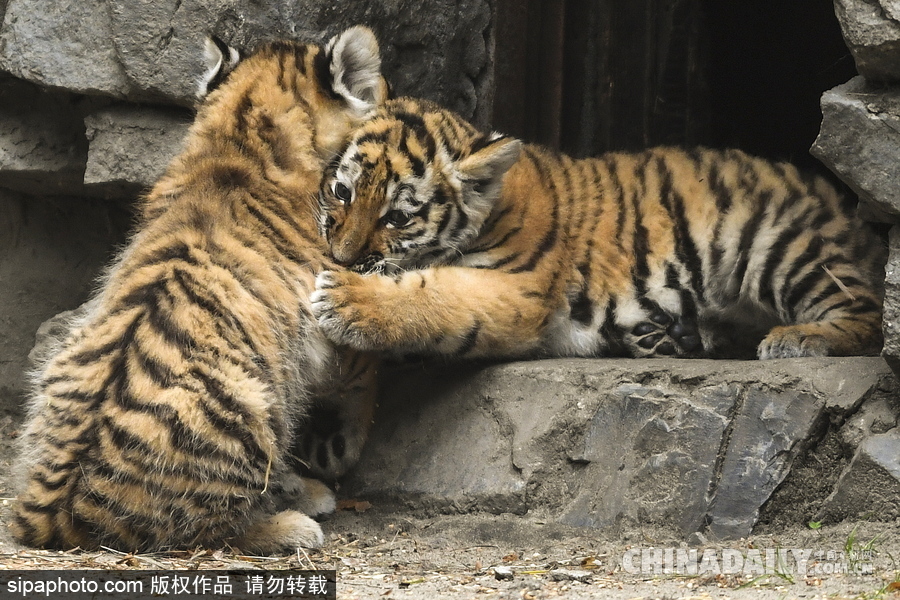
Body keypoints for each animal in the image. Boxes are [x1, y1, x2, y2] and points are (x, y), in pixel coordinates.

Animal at [11, 26, 387, 553]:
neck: (239, 136)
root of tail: (52, 512)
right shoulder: (331, 298)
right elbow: (363, 375)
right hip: (253, 407)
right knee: (216, 529)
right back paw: (294, 523)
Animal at [310, 97, 884, 362]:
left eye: (397, 217)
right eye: (342, 192)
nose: (341, 258)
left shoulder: (517, 290)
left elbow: (433, 296)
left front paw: (341, 300)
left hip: (778, 243)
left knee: (869, 315)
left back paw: (795, 339)